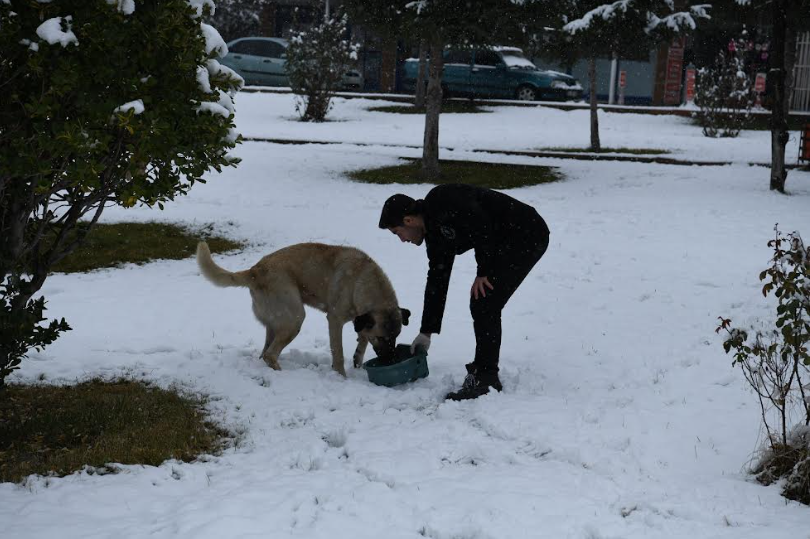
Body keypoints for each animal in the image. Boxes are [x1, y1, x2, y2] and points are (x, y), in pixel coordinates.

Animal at [196, 244, 410, 376]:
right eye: (382, 337)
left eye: (396, 336)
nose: (391, 359)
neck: (361, 280)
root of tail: (254, 271)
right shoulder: (335, 320)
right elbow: (338, 353)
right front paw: (341, 377)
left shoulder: (360, 319)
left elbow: (362, 339)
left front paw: (358, 360)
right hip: (295, 318)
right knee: (270, 354)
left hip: (277, 322)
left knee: (264, 353)